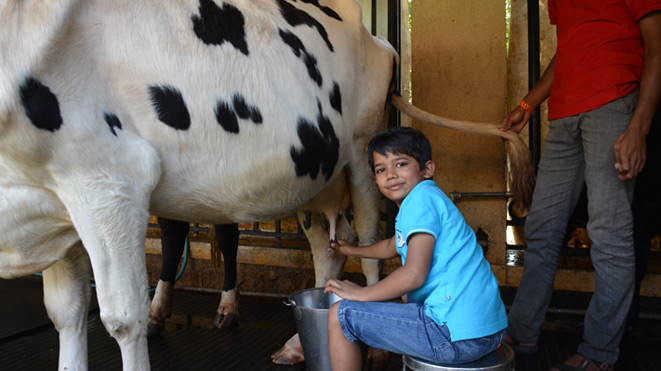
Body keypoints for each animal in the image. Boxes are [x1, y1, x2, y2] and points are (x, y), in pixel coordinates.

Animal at [0, 0, 532, 370]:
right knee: (330, 246)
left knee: (369, 237)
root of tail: (374, 34)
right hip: (313, 175)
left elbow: (121, 318)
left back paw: (376, 350)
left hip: (363, 153)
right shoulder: (51, 202)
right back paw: (301, 341)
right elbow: (66, 312)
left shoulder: (110, 181)